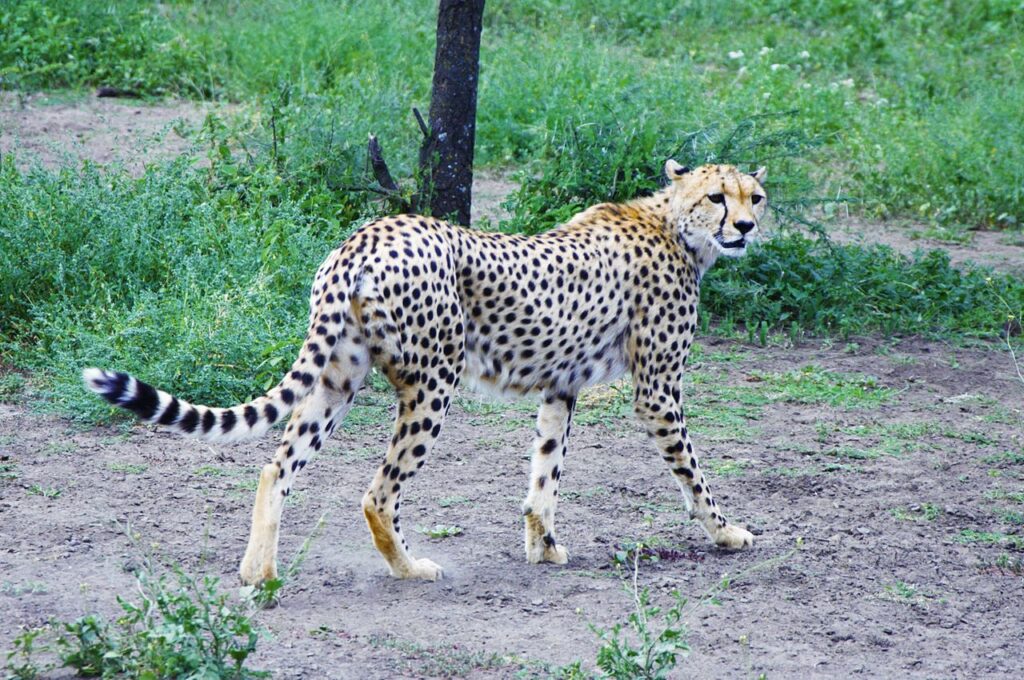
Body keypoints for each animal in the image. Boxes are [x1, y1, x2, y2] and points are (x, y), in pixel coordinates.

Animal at [81, 160, 770, 585]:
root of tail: (368, 233)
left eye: (755, 197)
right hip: (434, 381)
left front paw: (542, 548)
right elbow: (693, 473)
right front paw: (727, 532)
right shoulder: (657, 391)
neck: (676, 226)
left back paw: (259, 573)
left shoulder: (560, 386)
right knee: (378, 492)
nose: (745, 226)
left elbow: (543, 476)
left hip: (338, 379)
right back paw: (409, 569)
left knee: (277, 466)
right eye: (717, 197)